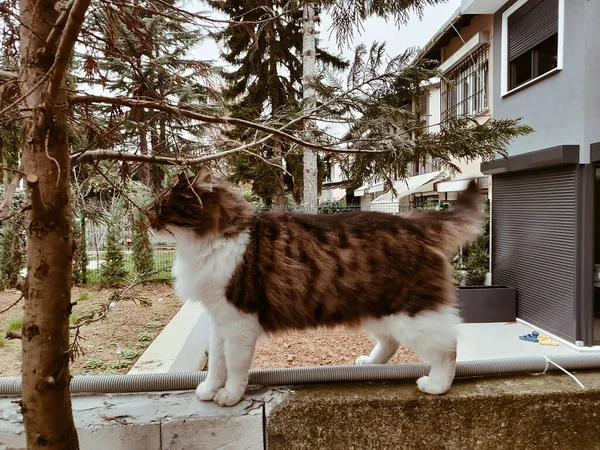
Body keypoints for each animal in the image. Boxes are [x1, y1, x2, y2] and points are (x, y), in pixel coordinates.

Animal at [150, 168, 482, 408]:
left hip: (412, 313)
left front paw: (229, 395)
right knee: (391, 343)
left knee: (447, 349)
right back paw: (370, 364)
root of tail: (414, 222)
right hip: (377, 309)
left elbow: (234, 367)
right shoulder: (219, 320)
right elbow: (217, 364)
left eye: (163, 207)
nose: (147, 217)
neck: (210, 244)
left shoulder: (237, 323)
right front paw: (209, 388)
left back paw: (436, 385)